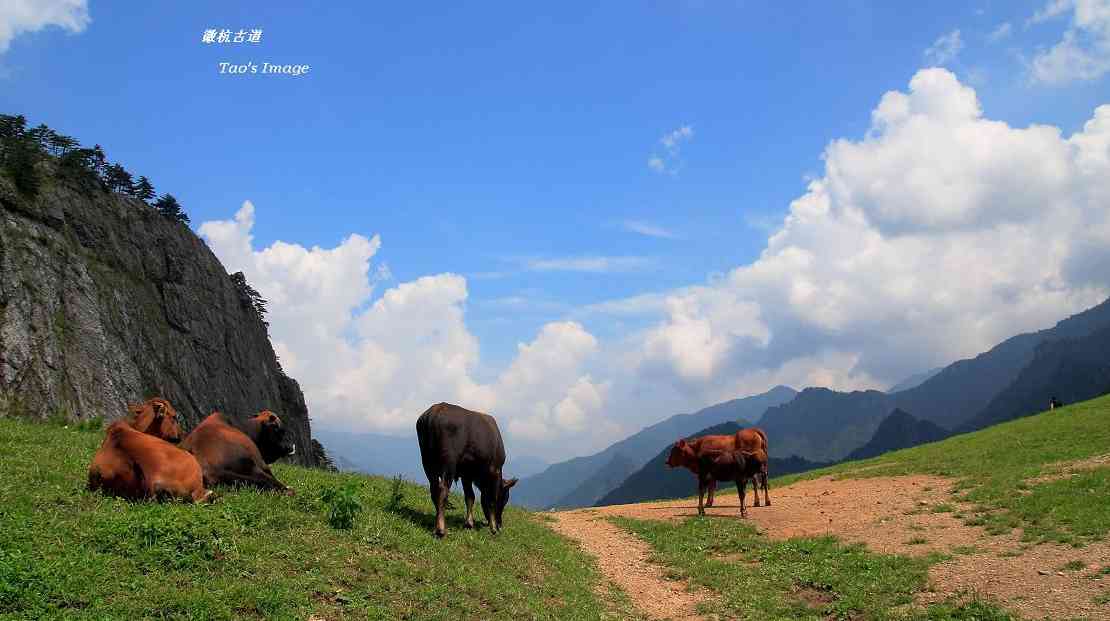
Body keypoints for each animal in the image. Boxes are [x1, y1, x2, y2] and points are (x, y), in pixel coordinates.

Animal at [417, 404, 519, 539]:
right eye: (504, 499)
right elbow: (491, 499)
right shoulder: (495, 470)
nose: (500, 525)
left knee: (434, 490)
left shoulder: (466, 475)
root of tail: (435, 411)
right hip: (449, 462)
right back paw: (441, 530)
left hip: (427, 461)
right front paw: (493, 528)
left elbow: (470, 496)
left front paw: (469, 523)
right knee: (443, 490)